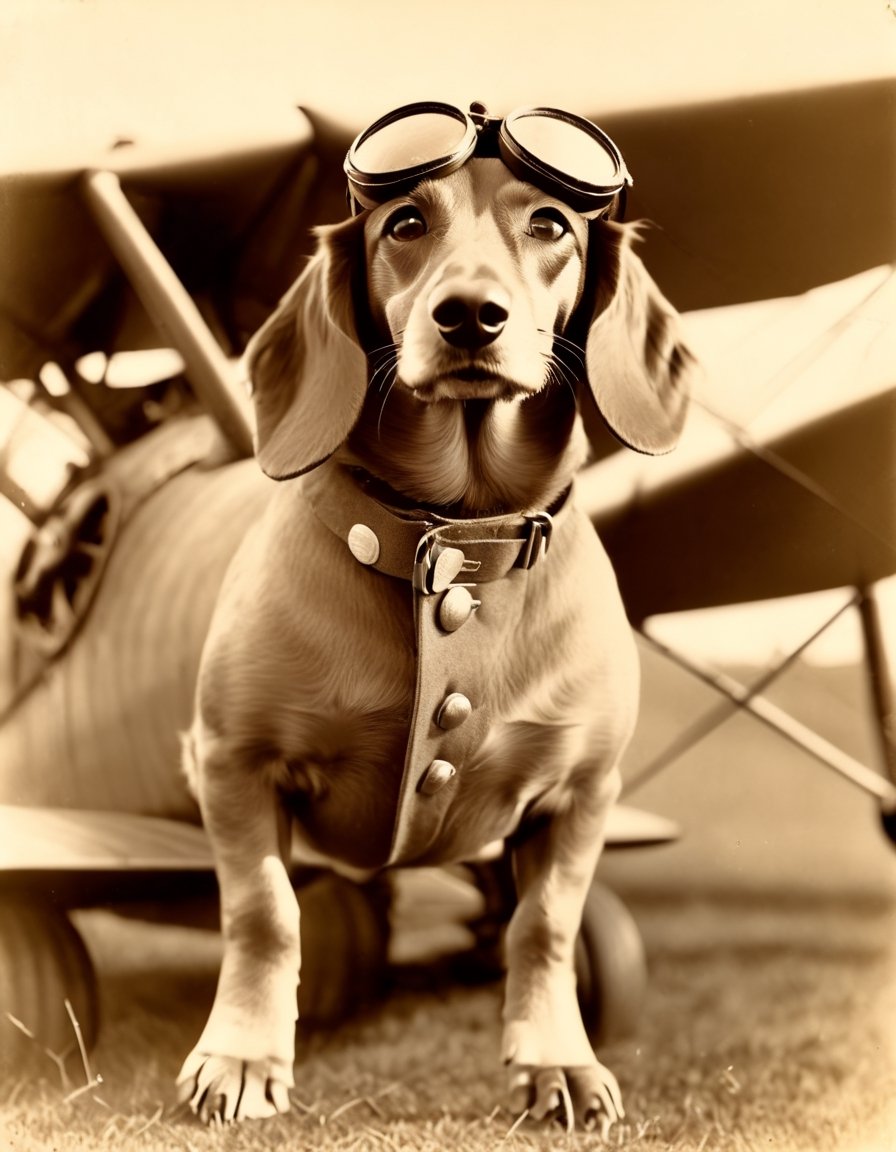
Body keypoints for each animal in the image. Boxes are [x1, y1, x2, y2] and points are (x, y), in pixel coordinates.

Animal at [175, 139, 691, 1128]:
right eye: (406, 222)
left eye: (550, 224)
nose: (470, 316)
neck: (455, 539)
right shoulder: (234, 761)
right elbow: (263, 910)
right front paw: (243, 1056)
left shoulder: (583, 792)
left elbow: (546, 922)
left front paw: (557, 1061)